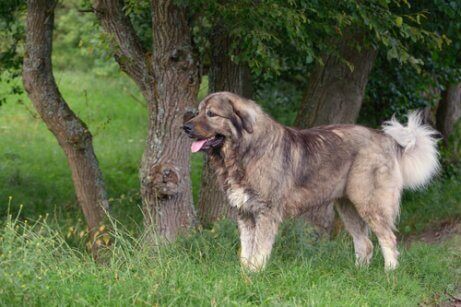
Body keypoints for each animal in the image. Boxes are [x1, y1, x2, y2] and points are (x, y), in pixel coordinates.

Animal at [182, 91, 438, 272]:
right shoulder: (245, 213)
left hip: (370, 204)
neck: (245, 151)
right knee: (365, 244)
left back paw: (389, 275)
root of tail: (387, 140)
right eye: (198, 111)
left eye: (211, 114)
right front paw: (244, 273)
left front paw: (254, 274)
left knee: (388, 240)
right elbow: (246, 249)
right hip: (347, 207)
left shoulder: (266, 212)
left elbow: (259, 250)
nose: (185, 127)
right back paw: (357, 275)